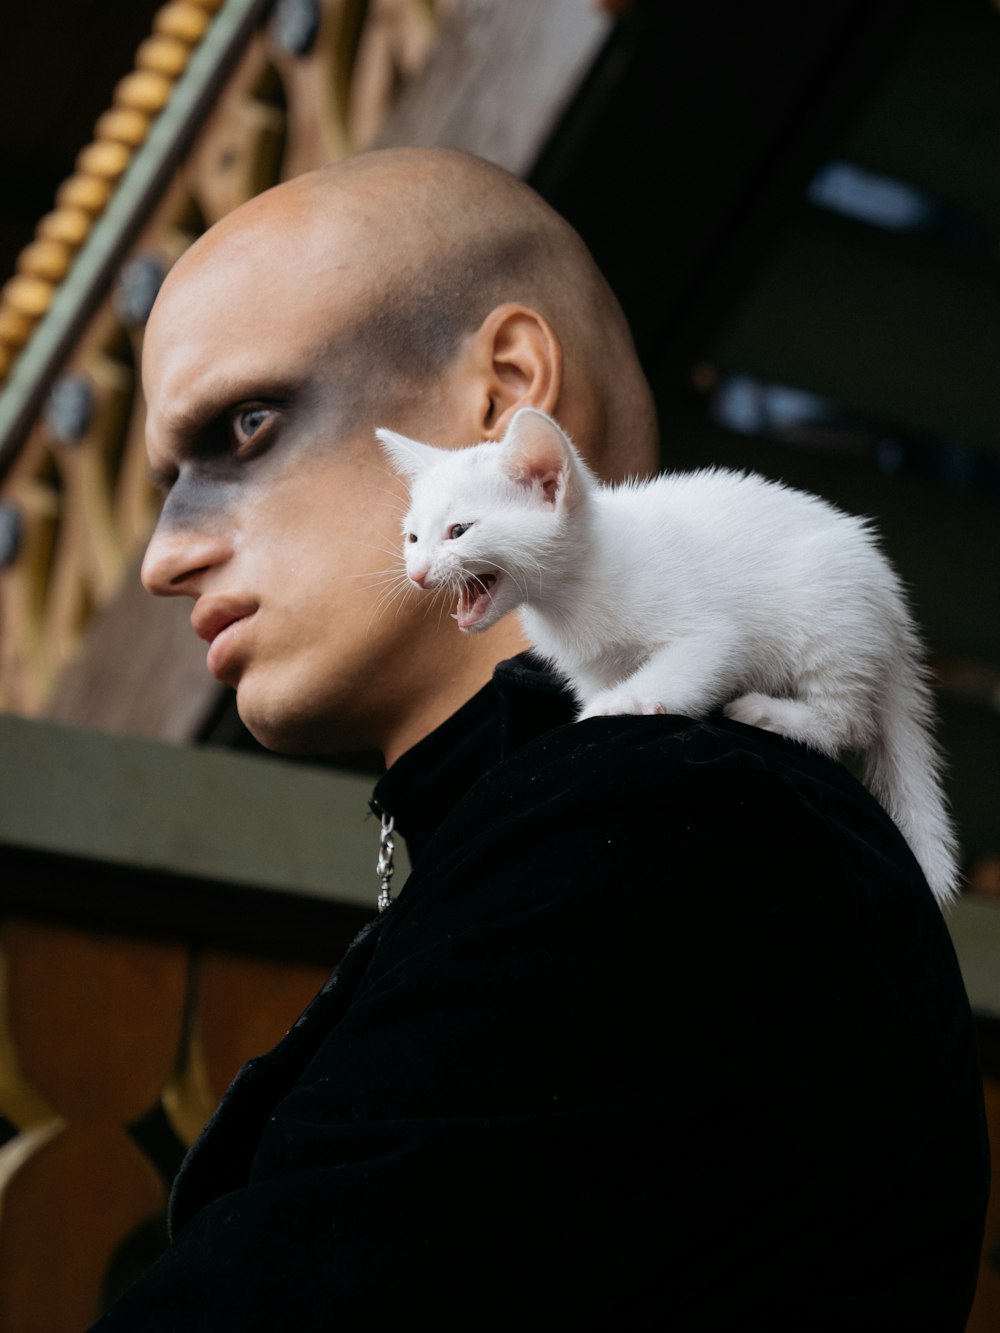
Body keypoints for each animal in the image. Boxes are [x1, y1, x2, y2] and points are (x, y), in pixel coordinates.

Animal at [378, 407, 965, 906]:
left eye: (460, 530)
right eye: (412, 537)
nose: (417, 574)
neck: (572, 590)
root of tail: (895, 613)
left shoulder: (710, 631)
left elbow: (688, 667)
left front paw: (617, 707)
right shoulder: (593, 663)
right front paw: (605, 700)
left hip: (831, 622)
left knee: (850, 721)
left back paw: (769, 712)